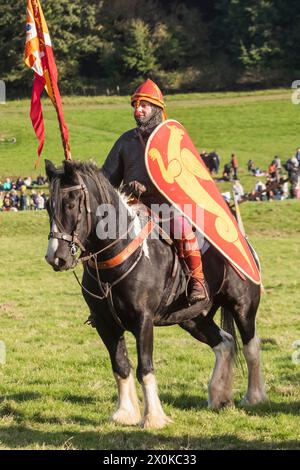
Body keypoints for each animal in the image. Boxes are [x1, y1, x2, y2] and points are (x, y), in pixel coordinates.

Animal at [45, 159, 268, 430]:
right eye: (48, 207)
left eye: (70, 203)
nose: (56, 257)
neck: (119, 255)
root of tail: (245, 244)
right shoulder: (106, 323)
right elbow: (120, 365)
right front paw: (125, 413)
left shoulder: (143, 321)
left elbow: (145, 367)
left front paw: (153, 417)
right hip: (193, 318)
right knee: (224, 343)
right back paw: (219, 396)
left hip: (242, 307)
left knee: (251, 346)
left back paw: (253, 396)